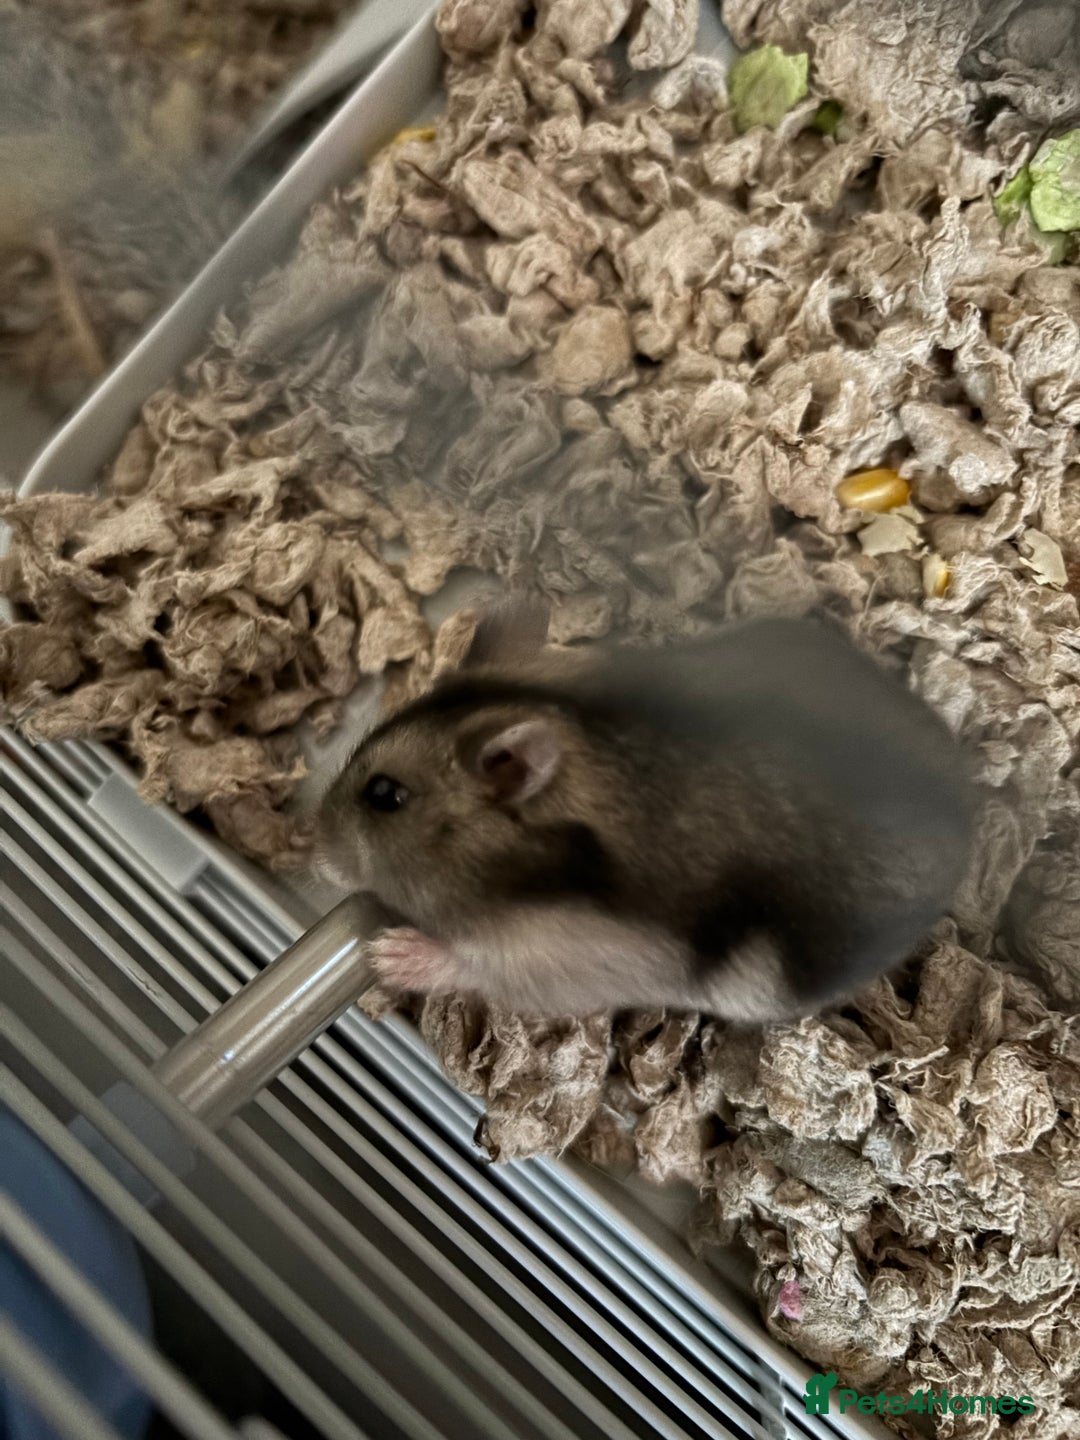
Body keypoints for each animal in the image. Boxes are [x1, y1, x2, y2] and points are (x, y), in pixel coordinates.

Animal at [315, 598, 980, 1022]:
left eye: (385, 796)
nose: (316, 849)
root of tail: (966, 795)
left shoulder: (560, 960)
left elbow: (472, 964)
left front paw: (387, 953)